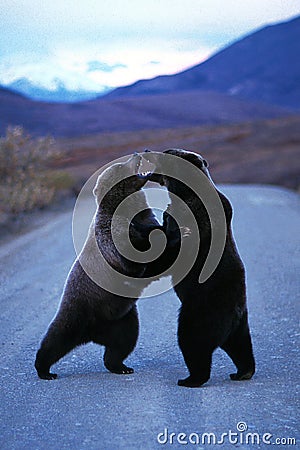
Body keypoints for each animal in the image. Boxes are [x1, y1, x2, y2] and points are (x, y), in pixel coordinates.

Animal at [34, 154, 159, 380]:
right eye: (121, 165)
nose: (137, 154)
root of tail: (92, 334)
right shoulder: (111, 234)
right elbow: (131, 254)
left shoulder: (143, 216)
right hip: (79, 307)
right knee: (57, 337)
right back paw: (44, 369)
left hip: (122, 318)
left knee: (123, 341)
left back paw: (121, 366)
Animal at [148, 149, 255, 388]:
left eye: (166, 152)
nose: (147, 151)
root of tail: (233, 313)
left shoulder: (196, 217)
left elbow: (173, 255)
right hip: (239, 322)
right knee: (241, 345)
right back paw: (243, 371)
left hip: (202, 308)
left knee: (193, 341)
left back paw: (191, 378)